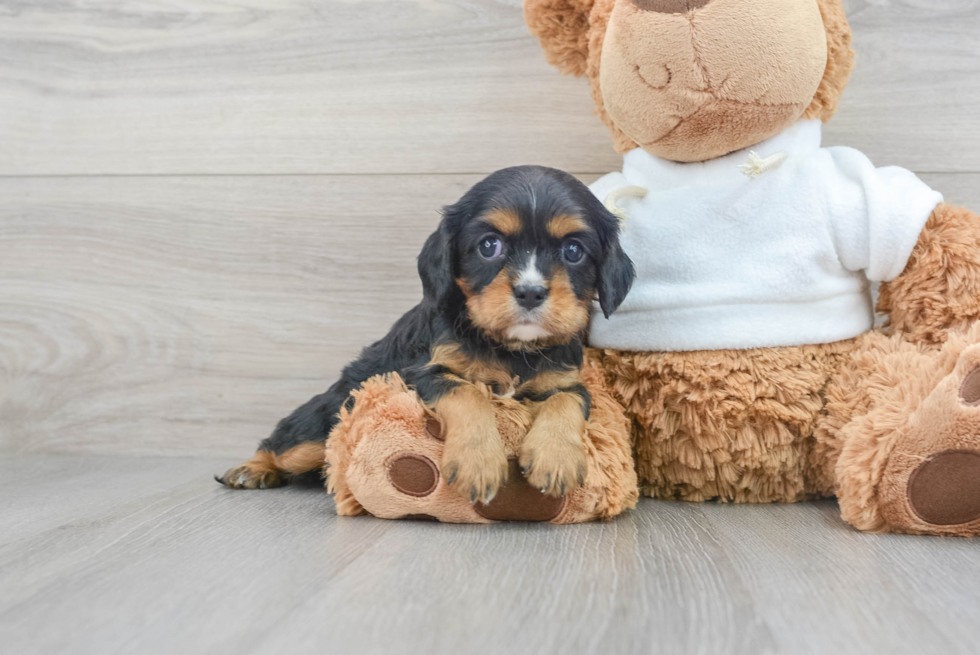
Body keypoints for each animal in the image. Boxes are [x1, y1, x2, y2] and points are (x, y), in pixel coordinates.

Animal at [219, 165, 636, 502]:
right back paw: (251, 469)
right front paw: (478, 463)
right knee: (287, 441)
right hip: (322, 423)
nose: (531, 292)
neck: (511, 348)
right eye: (489, 246)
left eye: (573, 251)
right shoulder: (421, 374)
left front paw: (556, 458)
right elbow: (468, 392)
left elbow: (568, 400)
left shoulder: (565, 379)